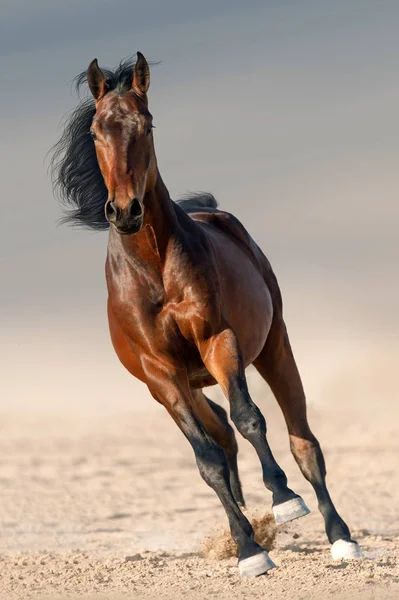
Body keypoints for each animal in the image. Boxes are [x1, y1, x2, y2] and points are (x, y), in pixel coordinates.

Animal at [50, 54, 362, 580]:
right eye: (95, 131)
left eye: (147, 125)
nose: (125, 211)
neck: (154, 266)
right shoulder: (162, 375)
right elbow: (207, 459)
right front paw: (249, 550)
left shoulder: (218, 339)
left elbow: (250, 418)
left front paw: (283, 501)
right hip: (188, 385)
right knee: (220, 434)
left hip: (274, 346)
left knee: (301, 440)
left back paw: (340, 538)